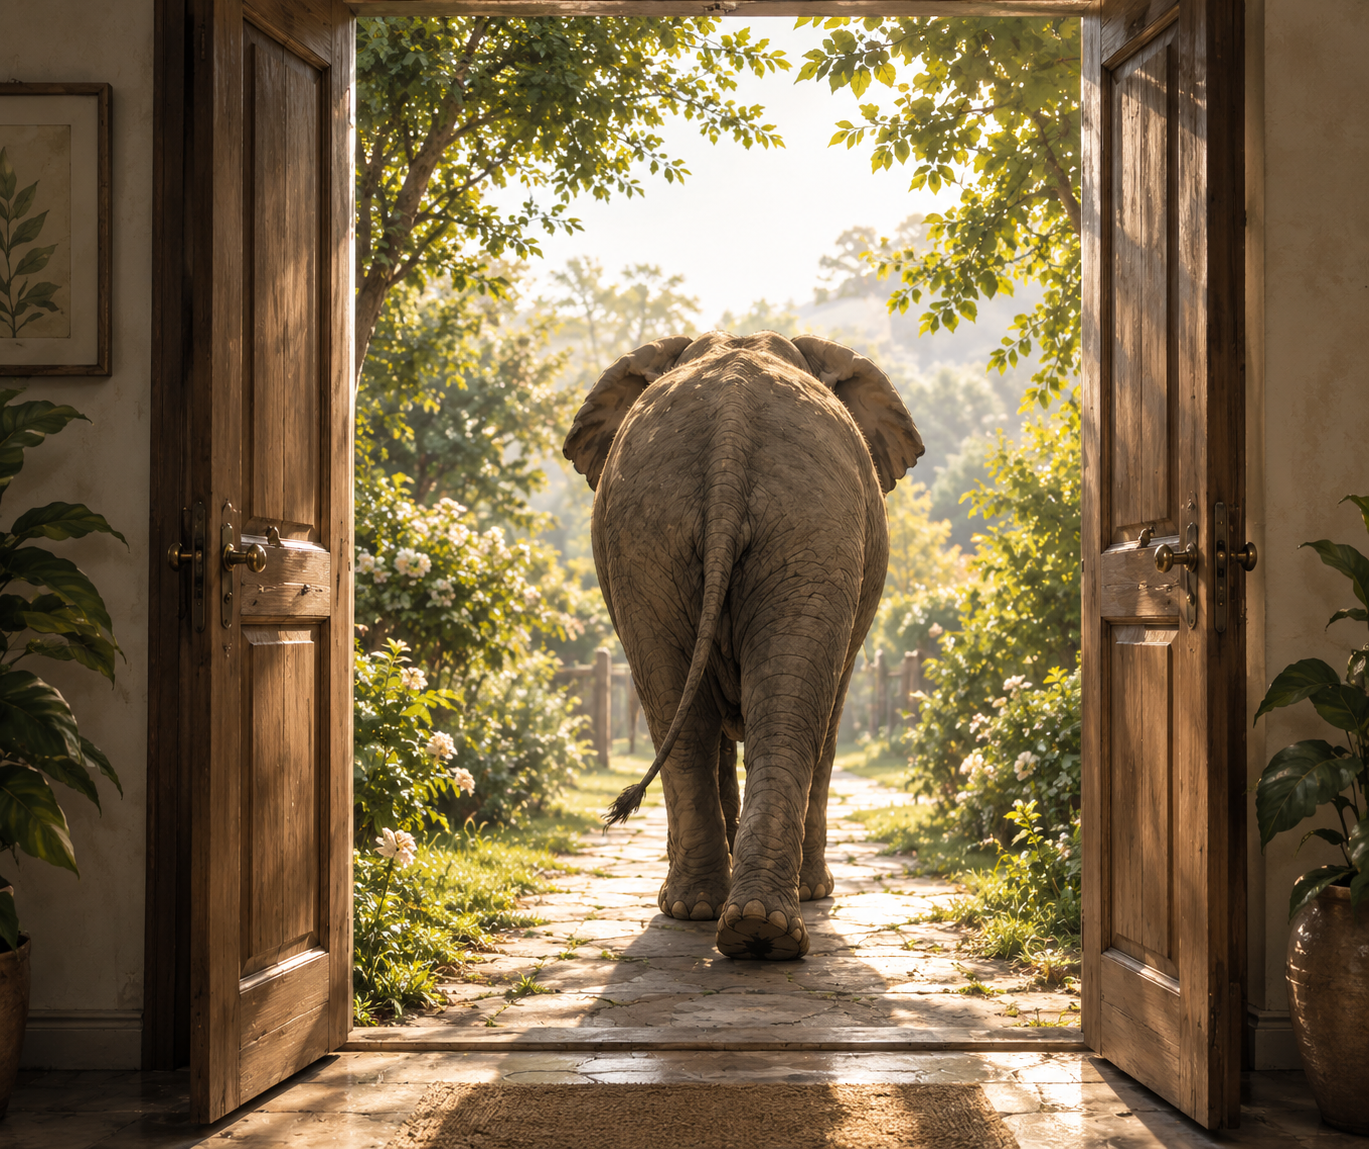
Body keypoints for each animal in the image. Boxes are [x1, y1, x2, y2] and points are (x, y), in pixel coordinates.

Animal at [562, 330, 923, 960]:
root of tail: (731, 419)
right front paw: (812, 894)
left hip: (692, 529)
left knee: (708, 714)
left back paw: (737, 920)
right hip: (780, 526)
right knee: (744, 718)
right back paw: (741, 920)